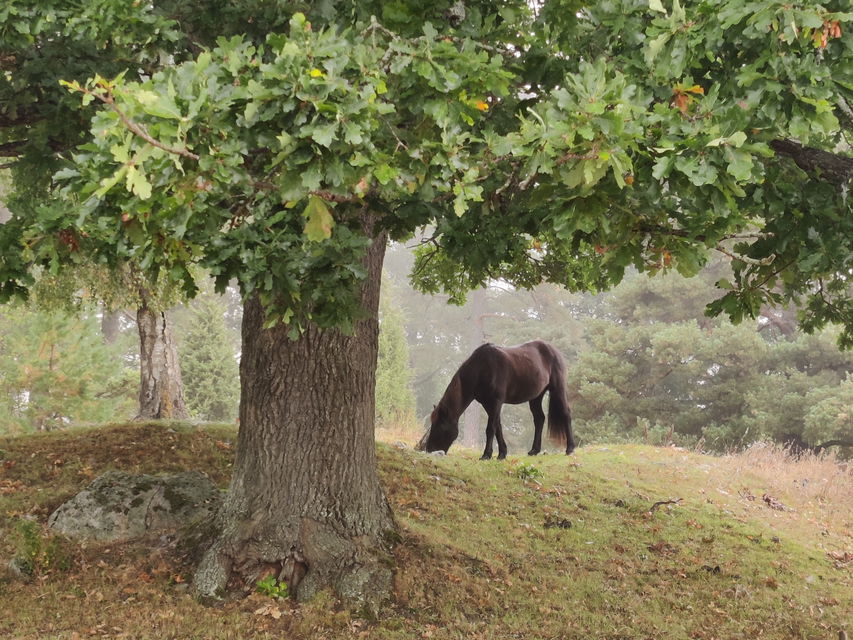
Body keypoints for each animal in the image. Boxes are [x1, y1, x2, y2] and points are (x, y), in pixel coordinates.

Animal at [418, 340, 572, 460]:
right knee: (539, 419)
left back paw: (570, 448)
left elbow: (490, 428)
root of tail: (554, 350)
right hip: (535, 397)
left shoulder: (496, 402)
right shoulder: (488, 404)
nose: (429, 450)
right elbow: (498, 427)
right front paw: (502, 453)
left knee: (566, 413)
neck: (481, 369)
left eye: (440, 425)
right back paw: (534, 450)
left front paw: (486, 455)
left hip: (557, 389)